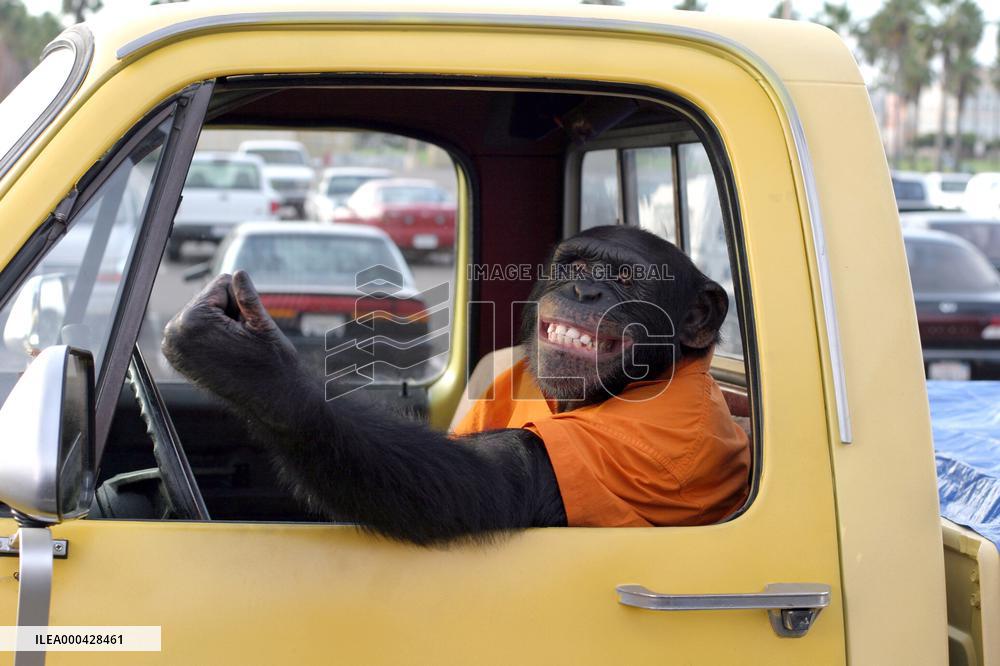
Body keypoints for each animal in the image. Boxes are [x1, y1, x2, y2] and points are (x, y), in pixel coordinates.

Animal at [162, 225, 750, 546]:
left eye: (626, 278)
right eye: (577, 266)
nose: (586, 291)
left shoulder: (634, 454)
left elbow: (473, 482)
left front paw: (253, 366)